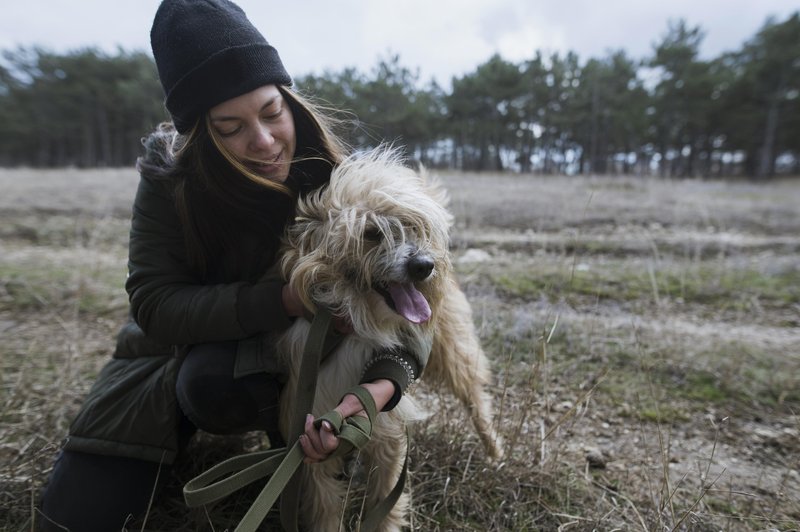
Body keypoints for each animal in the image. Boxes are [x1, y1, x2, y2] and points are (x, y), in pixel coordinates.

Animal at [276, 148, 500, 528]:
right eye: (371, 233)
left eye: (413, 227)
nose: (424, 266)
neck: (355, 325)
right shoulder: (311, 435)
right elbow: (324, 507)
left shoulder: (386, 428)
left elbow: (385, 502)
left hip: (454, 351)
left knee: (475, 397)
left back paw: (494, 449)